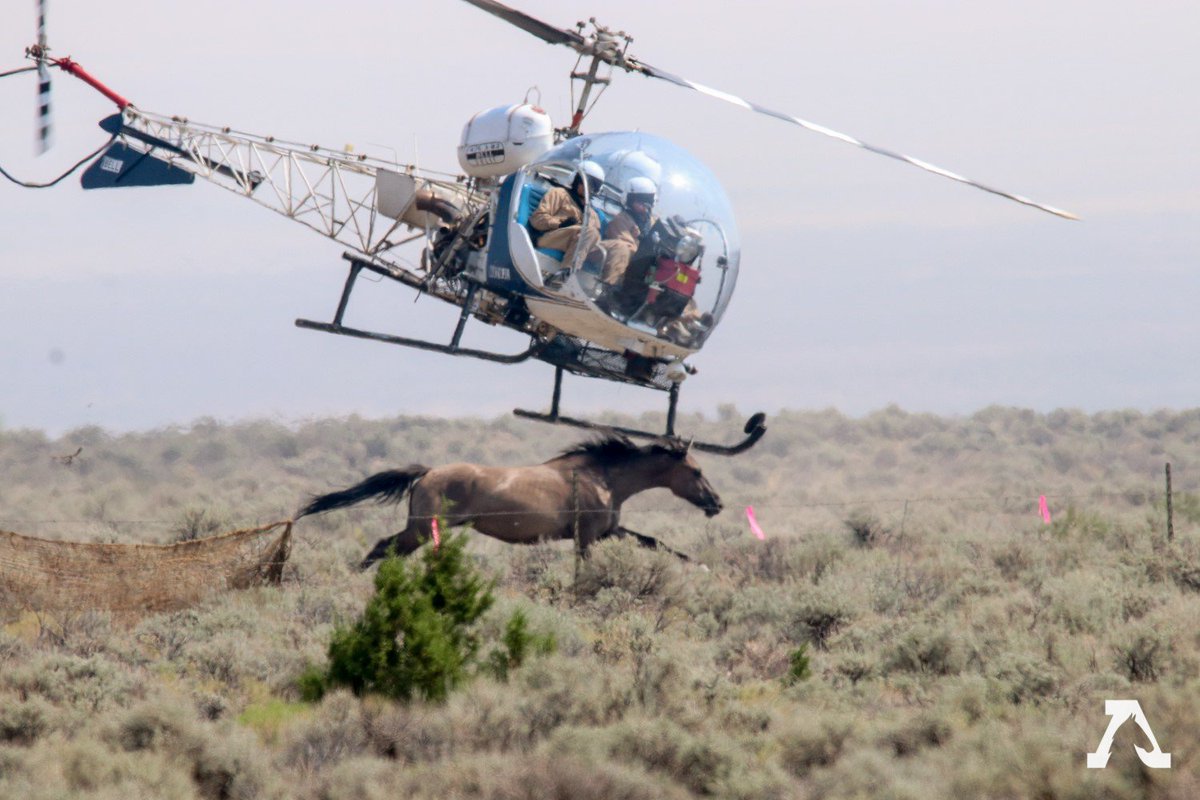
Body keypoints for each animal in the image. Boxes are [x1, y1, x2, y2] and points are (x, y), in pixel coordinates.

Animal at [296, 434, 722, 569]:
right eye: (697, 471)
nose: (717, 503)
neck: (603, 478)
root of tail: (428, 472)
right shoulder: (586, 537)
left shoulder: (609, 531)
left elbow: (655, 542)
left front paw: (698, 565)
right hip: (420, 530)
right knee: (383, 548)